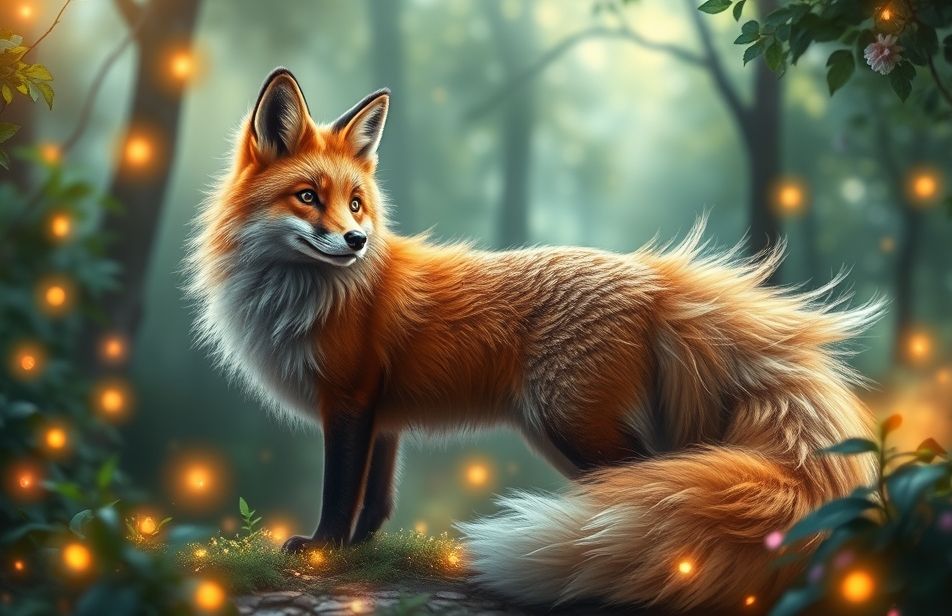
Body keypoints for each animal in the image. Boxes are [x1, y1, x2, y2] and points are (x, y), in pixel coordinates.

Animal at [186, 67, 884, 611]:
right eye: (308, 197)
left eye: (356, 204)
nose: (357, 241)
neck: (311, 296)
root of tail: (651, 276)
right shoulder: (382, 416)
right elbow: (376, 502)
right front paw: (359, 553)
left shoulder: (350, 401)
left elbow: (340, 491)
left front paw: (322, 551)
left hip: (571, 424)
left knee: (653, 483)